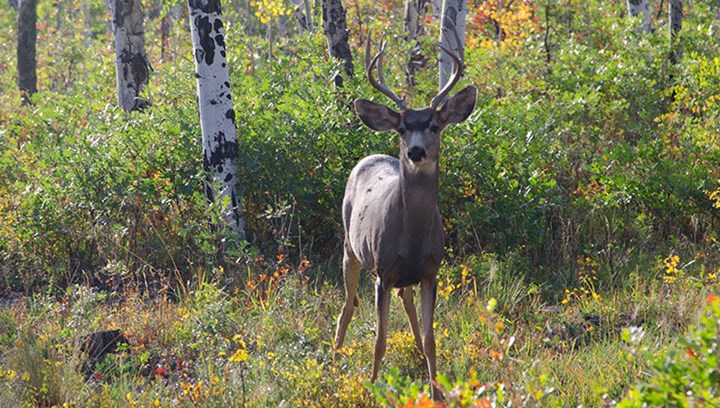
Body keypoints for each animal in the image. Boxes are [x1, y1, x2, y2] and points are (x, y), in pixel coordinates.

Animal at [334, 26, 478, 402]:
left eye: (435, 126)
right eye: (402, 128)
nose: (415, 151)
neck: (411, 233)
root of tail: (368, 156)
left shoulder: (431, 271)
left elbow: (431, 339)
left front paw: (438, 393)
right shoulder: (382, 272)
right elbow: (379, 340)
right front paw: (371, 389)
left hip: (404, 275)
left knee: (406, 302)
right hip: (350, 248)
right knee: (347, 307)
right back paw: (332, 359)